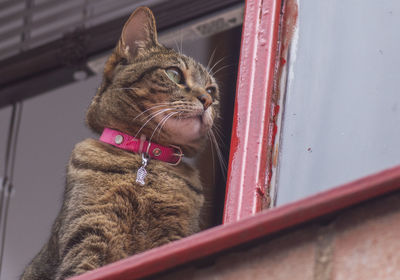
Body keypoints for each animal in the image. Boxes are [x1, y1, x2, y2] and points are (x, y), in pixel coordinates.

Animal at [21, 6, 219, 280]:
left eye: (212, 91)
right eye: (174, 74)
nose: (206, 100)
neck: (146, 156)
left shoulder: (175, 236)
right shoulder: (89, 230)